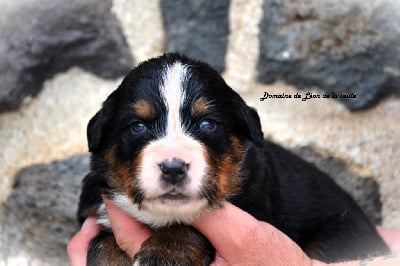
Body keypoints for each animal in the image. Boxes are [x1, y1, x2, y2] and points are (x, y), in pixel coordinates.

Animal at [78, 53, 388, 264]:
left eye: (207, 124)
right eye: (138, 127)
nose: (173, 168)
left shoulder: (251, 204)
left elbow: (192, 225)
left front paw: (168, 251)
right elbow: (100, 243)